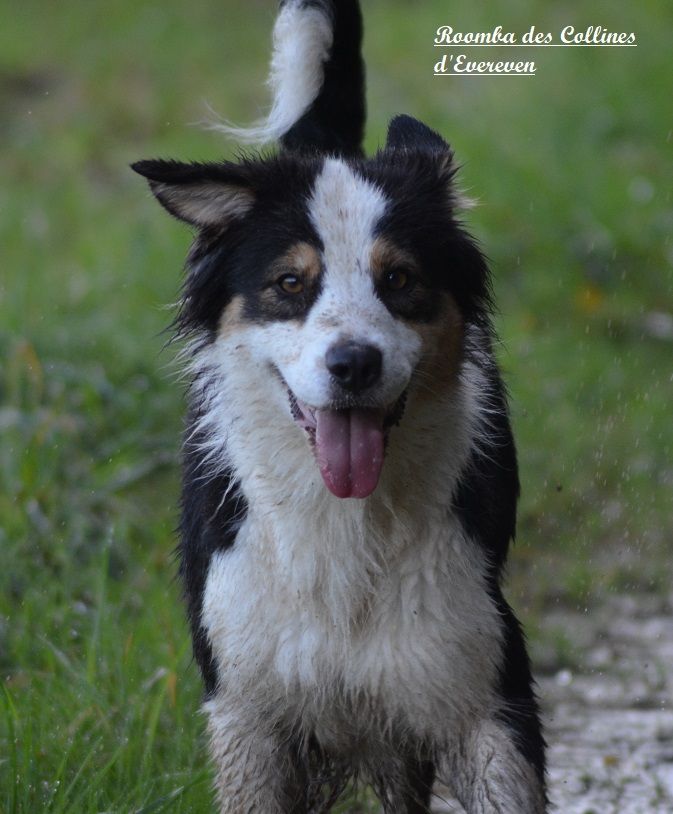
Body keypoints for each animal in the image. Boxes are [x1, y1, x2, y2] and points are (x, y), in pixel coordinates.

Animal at [133, 3, 544, 812]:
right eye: (291, 283)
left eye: (400, 279)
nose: (354, 364)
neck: (346, 528)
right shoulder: (247, 703)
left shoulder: (480, 680)